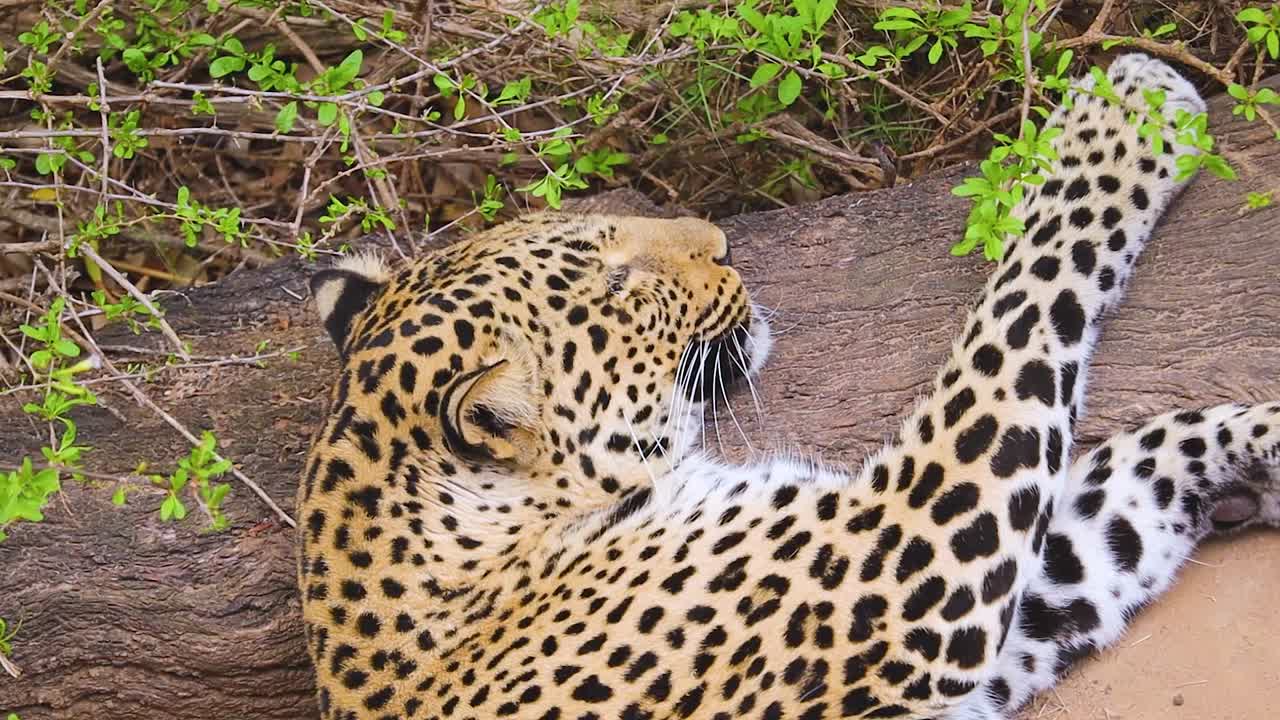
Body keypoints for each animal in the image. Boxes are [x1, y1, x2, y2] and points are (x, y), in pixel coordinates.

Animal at [297, 54, 1280, 720]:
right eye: (616, 281)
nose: (722, 241)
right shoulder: (894, 569)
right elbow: (1026, 299)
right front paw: (1128, 116)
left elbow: (1125, 485)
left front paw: (1264, 451)